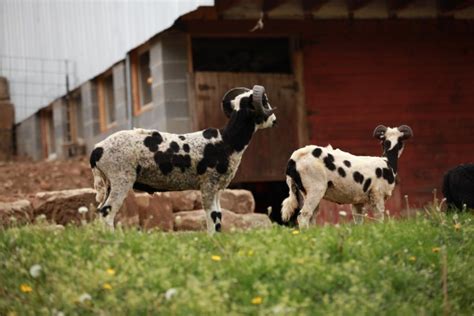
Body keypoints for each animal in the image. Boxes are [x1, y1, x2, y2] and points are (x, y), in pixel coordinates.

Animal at [89, 85, 276, 233]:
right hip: (121, 178)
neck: (227, 140)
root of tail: (97, 150)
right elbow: (211, 215)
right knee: (107, 212)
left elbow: (218, 216)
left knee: (100, 211)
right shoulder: (208, 184)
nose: (275, 121)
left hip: (109, 182)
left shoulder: (217, 187)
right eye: (264, 101)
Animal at [282, 124, 412, 227]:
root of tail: (294, 159)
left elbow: (358, 221)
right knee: (303, 216)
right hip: (315, 188)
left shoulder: (358, 201)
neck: (387, 162)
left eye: (400, 140)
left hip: (306, 192)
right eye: (384, 140)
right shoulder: (377, 195)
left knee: (312, 217)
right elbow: (379, 218)